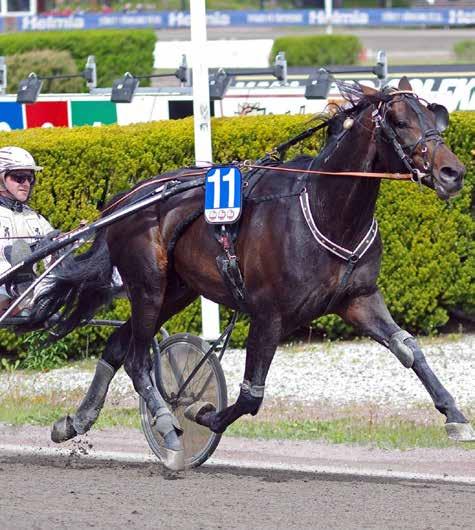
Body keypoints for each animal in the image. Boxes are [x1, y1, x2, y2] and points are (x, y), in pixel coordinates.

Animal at [28, 78, 472, 470]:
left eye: (435, 115)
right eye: (399, 121)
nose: (453, 172)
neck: (326, 211)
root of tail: (124, 199)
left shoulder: (358, 299)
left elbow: (408, 349)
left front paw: (454, 415)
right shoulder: (267, 314)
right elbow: (250, 396)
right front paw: (202, 413)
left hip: (176, 290)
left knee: (119, 345)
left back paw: (75, 421)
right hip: (148, 285)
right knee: (137, 360)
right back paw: (167, 425)